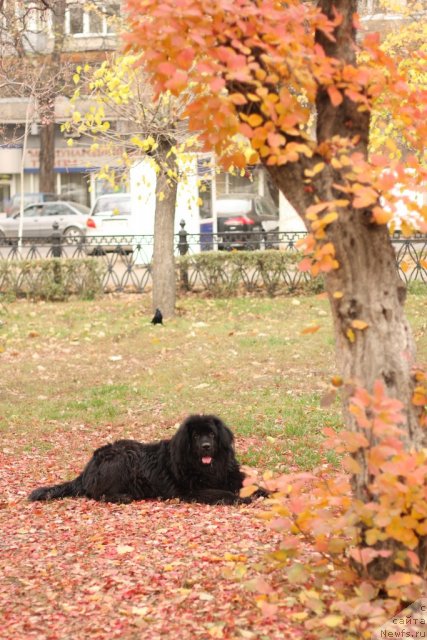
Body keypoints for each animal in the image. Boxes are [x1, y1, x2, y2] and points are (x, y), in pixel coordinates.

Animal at [28, 416, 260, 504]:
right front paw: (241, 498)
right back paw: (123, 496)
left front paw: (263, 491)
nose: (205, 446)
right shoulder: (193, 490)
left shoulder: (229, 475)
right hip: (122, 458)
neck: (209, 468)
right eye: (195, 436)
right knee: (96, 493)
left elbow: (251, 484)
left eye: (211, 434)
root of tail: (86, 469)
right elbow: (222, 493)